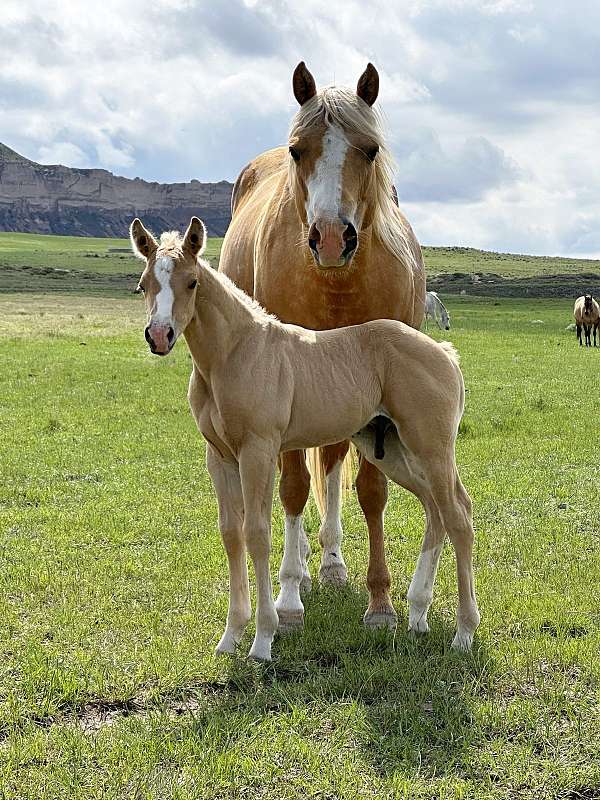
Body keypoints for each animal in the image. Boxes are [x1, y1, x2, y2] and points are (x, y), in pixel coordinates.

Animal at [130, 215, 480, 662]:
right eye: (144, 284)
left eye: (191, 282)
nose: (159, 336)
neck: (236, 354)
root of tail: (445, 353)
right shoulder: (219, 457)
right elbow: (230, 533)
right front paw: (230, 636)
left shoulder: (258, 451)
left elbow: (257, 533)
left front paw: (263, 640)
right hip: (392, 451)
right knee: (437, 511)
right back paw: (418, 614)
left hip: (431, 448)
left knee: (459, 516)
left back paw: (464, 633)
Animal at [218, 62, 426, 631]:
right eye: (298, 150)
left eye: (370, 149)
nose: (332, 238)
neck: (336, 283)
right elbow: (291, 487)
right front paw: (288, 596)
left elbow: (371, 491)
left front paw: (380, 604)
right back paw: (304, 569)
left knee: (331, 464)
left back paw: (332, 560)